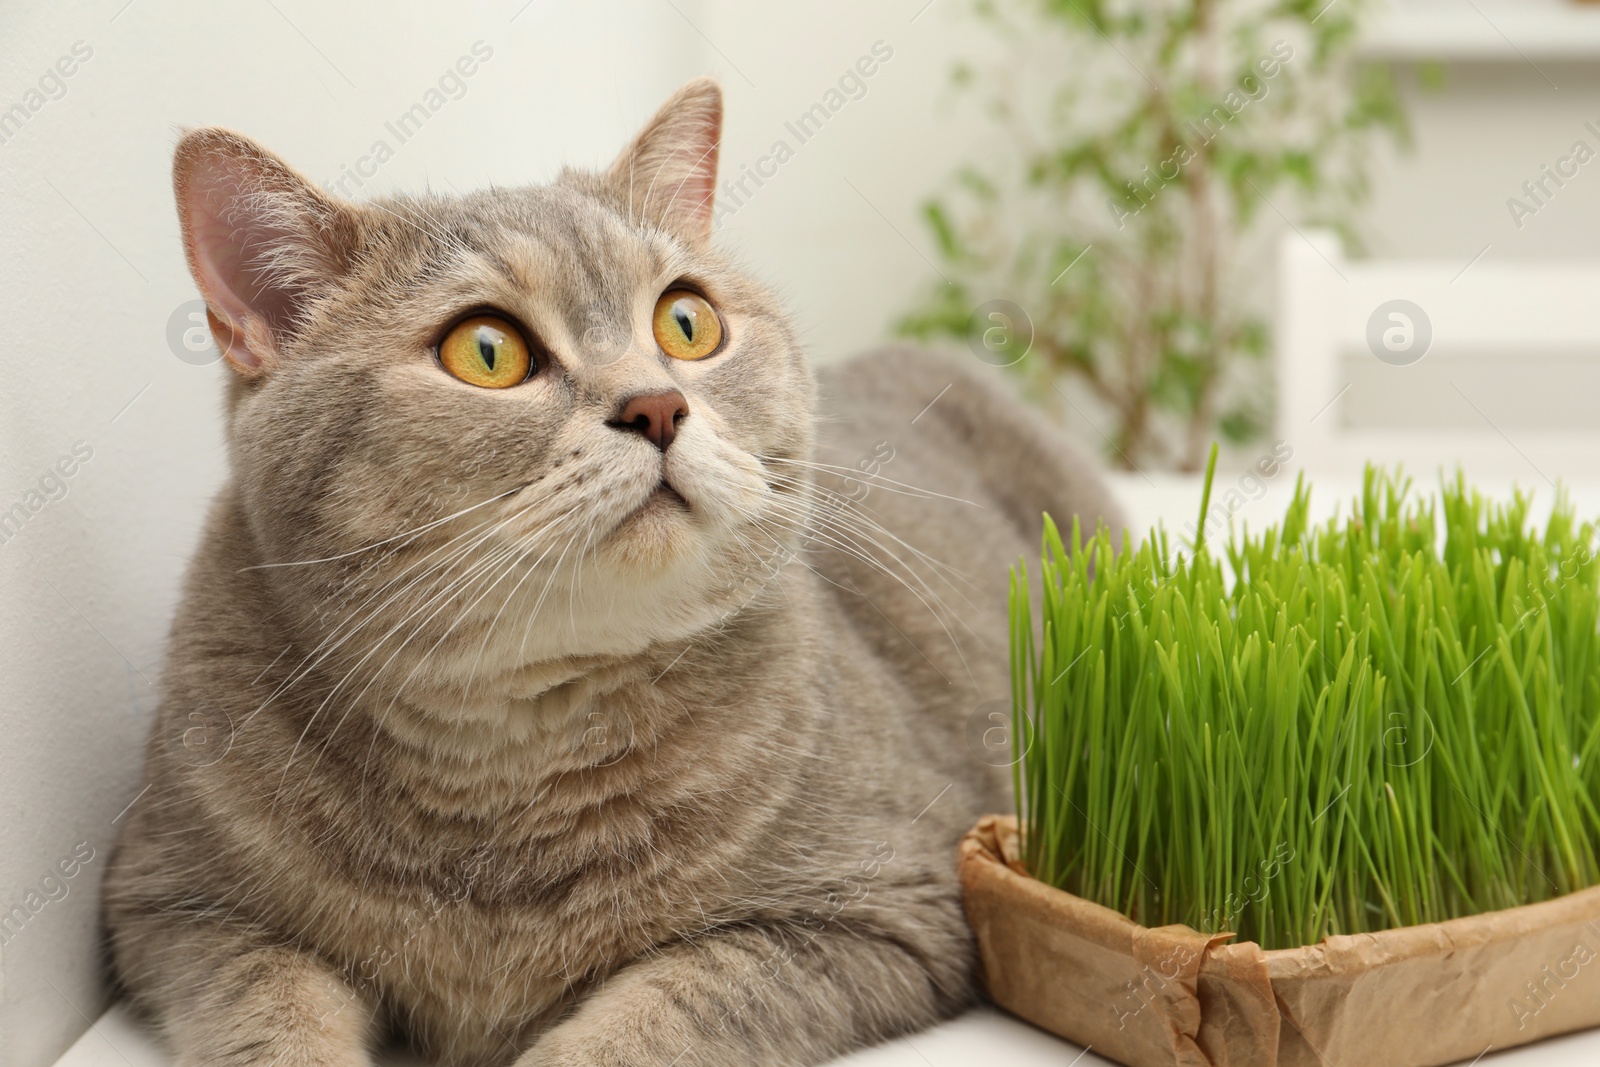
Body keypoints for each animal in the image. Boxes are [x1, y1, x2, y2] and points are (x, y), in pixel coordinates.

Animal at [103, 77, 1126, 1067]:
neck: (515, 749)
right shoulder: (176, 904)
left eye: (687, 322)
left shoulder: (876, 904)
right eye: (486, 349)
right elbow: (269, 1017)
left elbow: (653, 1018)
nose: (657, 406)